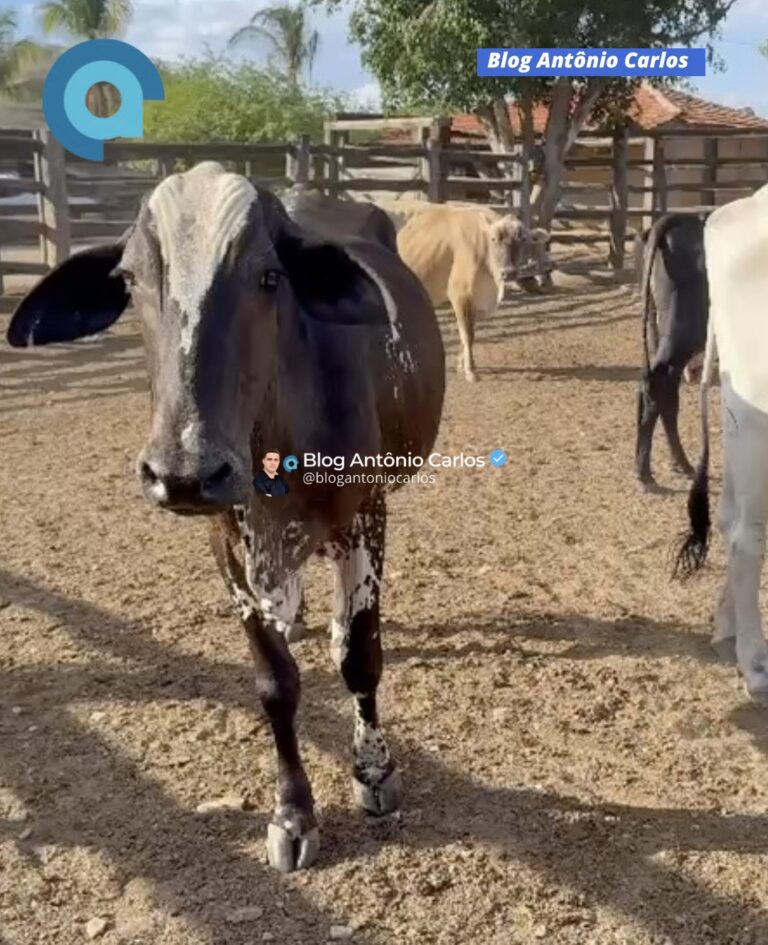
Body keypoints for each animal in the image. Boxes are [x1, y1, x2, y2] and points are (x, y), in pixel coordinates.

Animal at [6, 162, 446, 871]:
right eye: (130, 279)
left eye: (270, 277)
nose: (184, 470)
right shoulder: (227, 540)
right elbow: (275, 683)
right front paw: (292, 814)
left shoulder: (368, 515)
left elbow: (360, 655)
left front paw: (374, 771)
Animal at [381, 201, 549, 381]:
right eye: (494, 239)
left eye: (522, 239)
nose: (508, 272)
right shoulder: (460, 293)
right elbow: (467, 334)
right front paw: (470, 371)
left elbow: (467, 333)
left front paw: (462, 365)